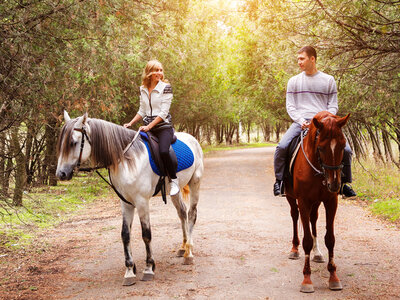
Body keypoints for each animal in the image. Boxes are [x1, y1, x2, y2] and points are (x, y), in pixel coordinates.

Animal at [55, 110, 203, 286]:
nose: (61, 174)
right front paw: (130, 271)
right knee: (182, 213)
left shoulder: (142, 202)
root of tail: (192, 138)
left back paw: (189, 253)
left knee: (192, 214)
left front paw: (149, 268)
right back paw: (183, 247)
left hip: (195, 183)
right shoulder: (125, 202)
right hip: (175, 191)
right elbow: (125, 234)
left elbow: (146, 234)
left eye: (73, 142)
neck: (126, 160)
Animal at [284, 110, 350, 292]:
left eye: (343, 146)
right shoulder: (303, 201)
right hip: (292, 198)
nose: (334, 184)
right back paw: (294, 249)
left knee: (313, 219)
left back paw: (317, 253)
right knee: (294, 216)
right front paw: (307, 279)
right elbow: (306, 240)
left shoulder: (331, 202)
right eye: (320, 147)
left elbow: (330, 239)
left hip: (316, 202)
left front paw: (333, 276)